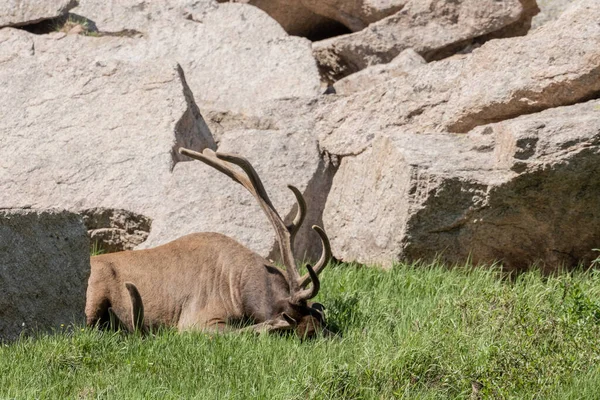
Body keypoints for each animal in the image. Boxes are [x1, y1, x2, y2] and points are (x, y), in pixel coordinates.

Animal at [85, 147, 332, 338]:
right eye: (308, 331)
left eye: (321, 322)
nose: (330, 337)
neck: (238, 290)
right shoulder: (195, 321)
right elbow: (238, 333)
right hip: (93, 296)